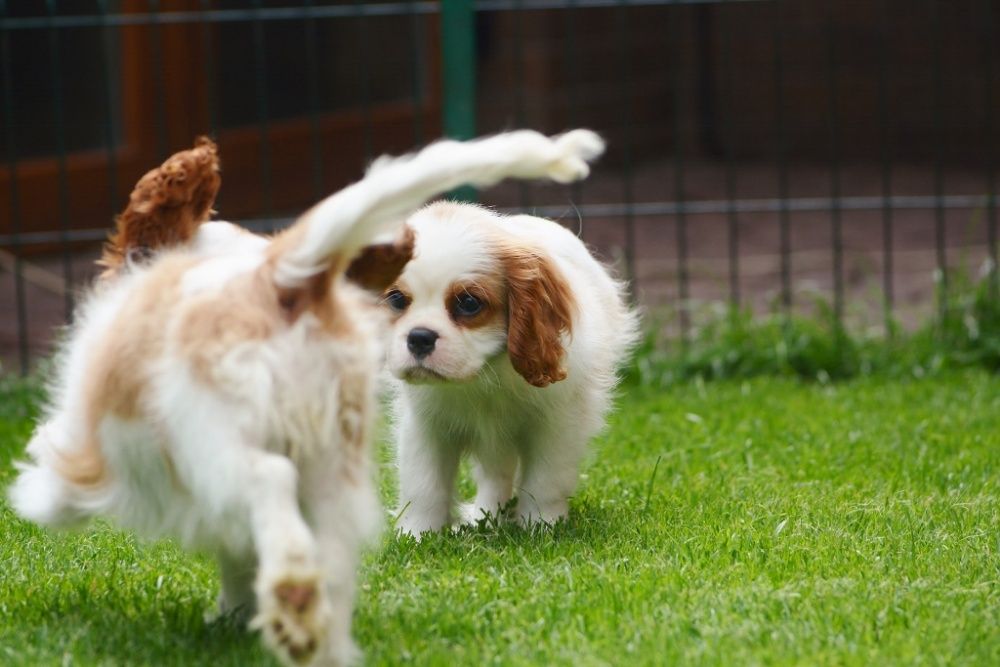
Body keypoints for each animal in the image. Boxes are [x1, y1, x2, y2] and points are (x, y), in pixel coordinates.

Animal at [9, 128, 600, 664]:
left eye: (470, 303)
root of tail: (283, 280)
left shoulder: (91, 432)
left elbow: (62, 480)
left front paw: (35, 496)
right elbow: (239, 557)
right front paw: (237, 610)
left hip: (214, 438)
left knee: (268, 477)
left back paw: (292, 594)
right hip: (330, 470)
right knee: (326, 558)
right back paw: (307, 625)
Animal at [382, 201, 640, 536]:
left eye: (468, 303)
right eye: (396, 299)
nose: (419, 338)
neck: (485, 372)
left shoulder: (557, 423)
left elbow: (545, 479)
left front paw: (541, 526)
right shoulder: (426, 424)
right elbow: (423, 483)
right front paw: (419, 534)